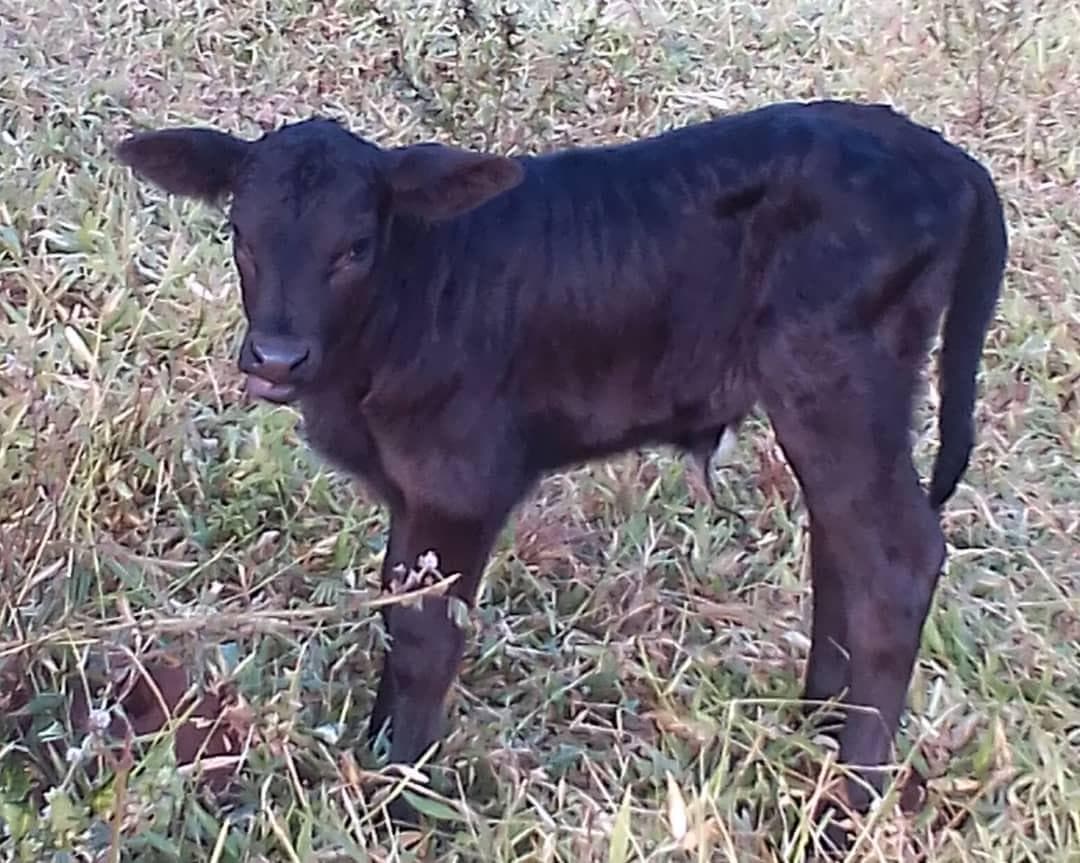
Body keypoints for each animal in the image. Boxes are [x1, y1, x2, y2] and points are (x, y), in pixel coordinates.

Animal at [115, 99, 1007, 833]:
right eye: (240, 234)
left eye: (355, 247)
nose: (275, 357)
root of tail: (944, 158)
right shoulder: (409, 492)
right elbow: (396, 606)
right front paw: (374, 753)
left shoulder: (459, 482)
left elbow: (427, 635)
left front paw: (403, 796)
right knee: (841, 544)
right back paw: (813, 730)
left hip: (835, 378)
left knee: (894, 558)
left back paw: (844, 805)